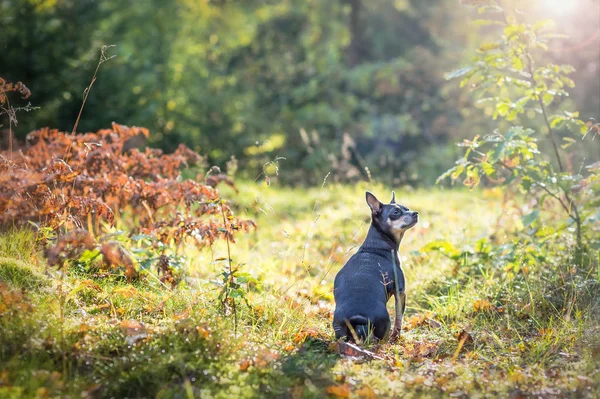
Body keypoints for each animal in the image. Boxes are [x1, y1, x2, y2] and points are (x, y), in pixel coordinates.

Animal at [332, 192, 418, 342]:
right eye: (396, 212)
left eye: (407, 209)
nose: (415, 213)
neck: (376, 245)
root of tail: (357, 316)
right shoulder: (400, 292)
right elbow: (399, 319)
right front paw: (396, 337)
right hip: (384, 325)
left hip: (339, 330)